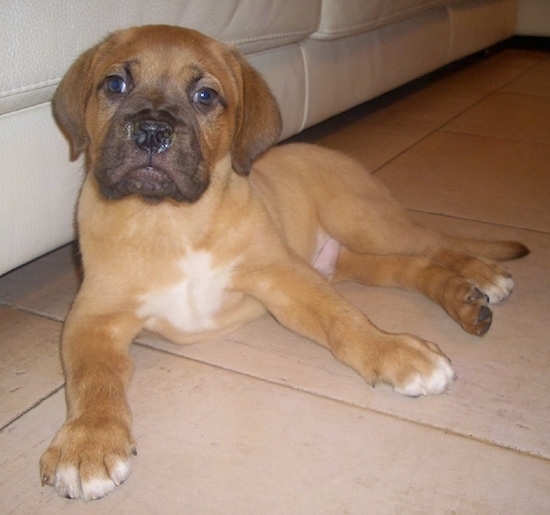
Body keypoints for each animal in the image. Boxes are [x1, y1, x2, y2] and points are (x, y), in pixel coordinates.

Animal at [40, 24, 532, 500]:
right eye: (115, 84)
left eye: (205, 96)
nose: (150, 133)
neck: (168, 220)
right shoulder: (94, 316)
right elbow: (92, 376)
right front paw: (88, 442)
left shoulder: (283, 275)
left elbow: (345, 319)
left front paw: (393, 351)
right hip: (354, 260)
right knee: (411, 267)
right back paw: (465, 300)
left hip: (363, 220)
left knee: (434, 243)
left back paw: (483, 274)